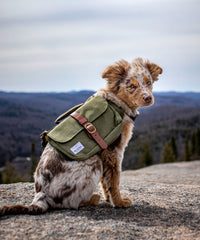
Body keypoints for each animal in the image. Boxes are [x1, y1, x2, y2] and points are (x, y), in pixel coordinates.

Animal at [0, 58, 162, 216]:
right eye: (131, 86)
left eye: (149, 82)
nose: (148, 98)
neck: (117, 103)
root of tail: (41, 195)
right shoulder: (114, 151)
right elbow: (114, 181)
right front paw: (119, 202)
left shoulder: (105, 153)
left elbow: (106, 181)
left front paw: (109, 198)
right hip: (94, 162)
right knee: (71, 203)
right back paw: (92, 199)